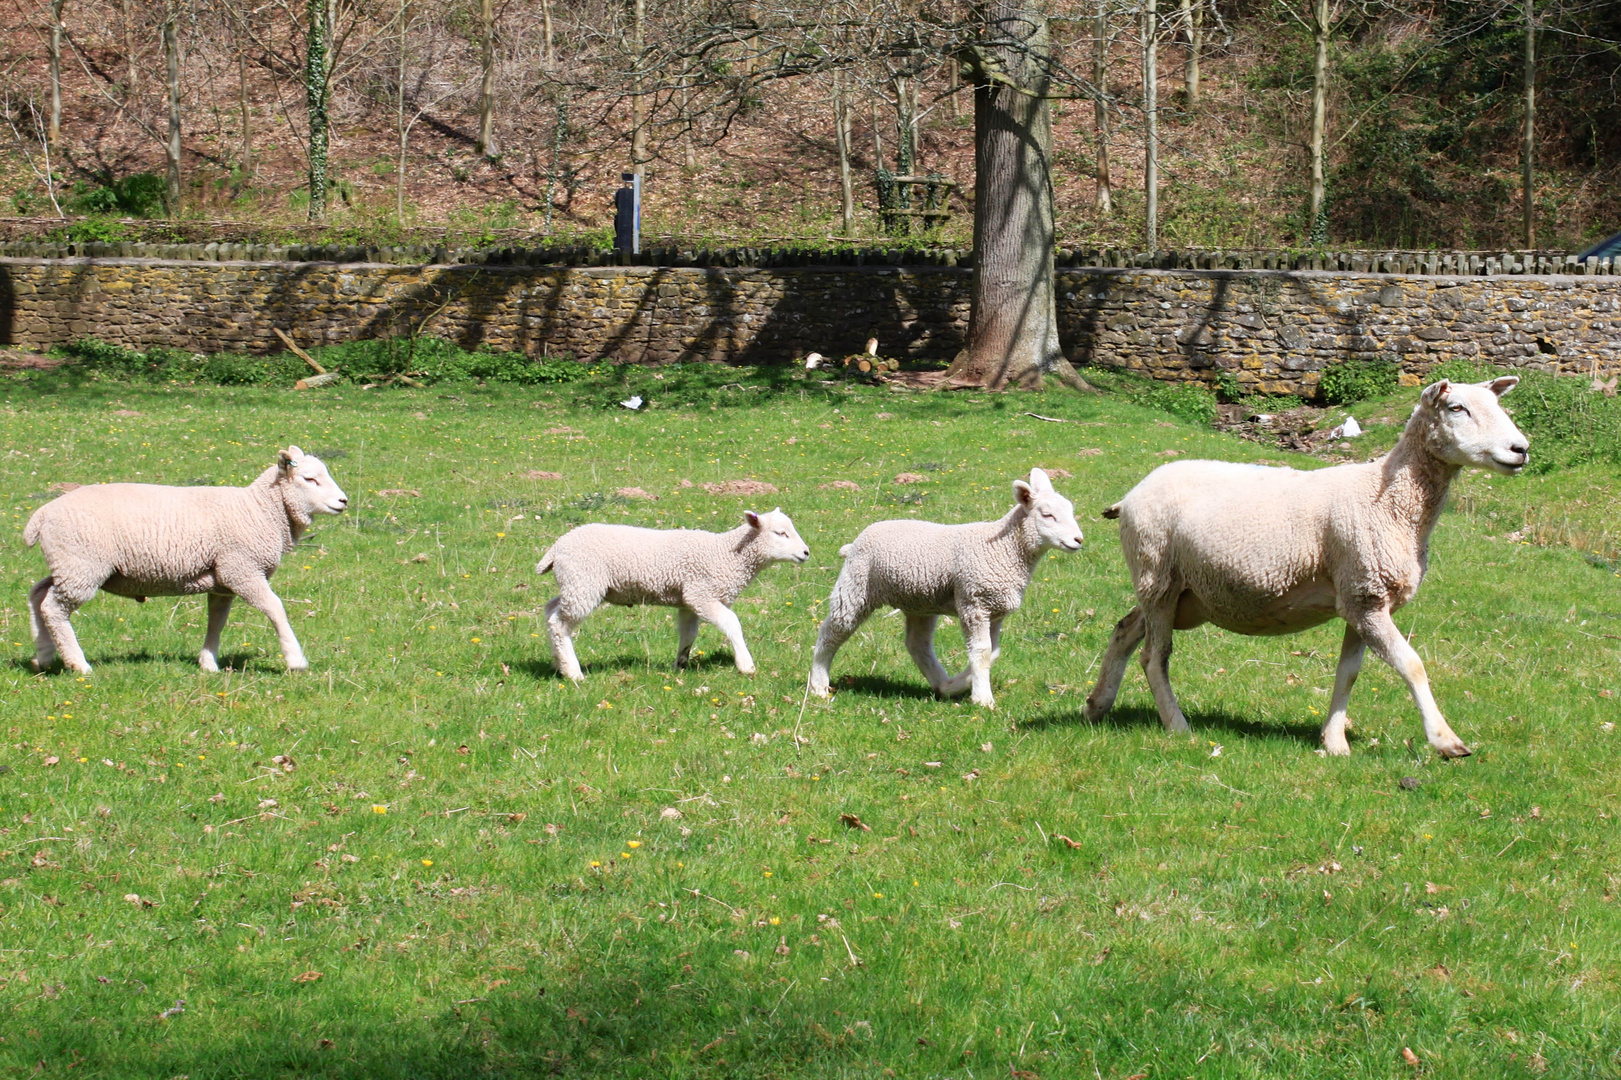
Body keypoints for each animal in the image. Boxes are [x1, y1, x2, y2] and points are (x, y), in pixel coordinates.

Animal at [534, 505, 807, 677]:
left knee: (550, 610)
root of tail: (556, 548)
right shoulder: (701, 594)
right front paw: (746, 665)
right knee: (560, 623)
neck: (727, 553)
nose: (806, 552)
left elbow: (688, 634)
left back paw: (559, 663)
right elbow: (732, 622)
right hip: (584, 583)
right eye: (780, 533)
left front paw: (680, 665)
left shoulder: (688, 601)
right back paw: (573, 672)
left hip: (577, 583)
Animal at [807, 463, 1082, 707]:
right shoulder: (974, 603)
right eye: (1047, 515)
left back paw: (943, 685)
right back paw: (818, 685)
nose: (1079, 539)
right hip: (856, 586)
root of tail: (853, 544)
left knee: (917, 644)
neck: (1005, 549)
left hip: (919, 602)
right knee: (831, 631)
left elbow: (992, 652)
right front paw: (983, 698)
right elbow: (981, 652)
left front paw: (965, 683)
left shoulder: (995, 610)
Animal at [1089, 377, 1530, 755]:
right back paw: (1177, 725)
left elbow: (1348, 673)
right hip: (1157, 572)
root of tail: (1131, 495)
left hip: (1180, 591)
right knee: (1155, 656)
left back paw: (1097, 704)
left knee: (1125, 630)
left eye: (1497, 406)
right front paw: (1445, 740)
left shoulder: (1361, 599)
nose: (1520, 449)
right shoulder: (1367, 596)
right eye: (1457, 408)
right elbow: (1412, 665)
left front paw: (1334, 742)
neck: (1389, 498)